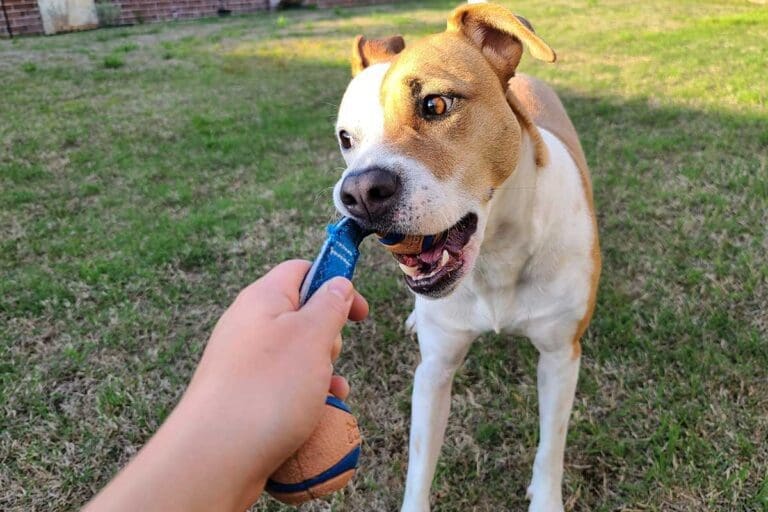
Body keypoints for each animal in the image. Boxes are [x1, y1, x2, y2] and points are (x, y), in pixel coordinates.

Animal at [330, 2, 600, 510]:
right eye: (345, 138)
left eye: (435, 104)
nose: (358, 193)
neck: (495, 255)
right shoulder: (434, 370)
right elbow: (419, 465)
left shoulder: (560, 356)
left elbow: (550, 447)